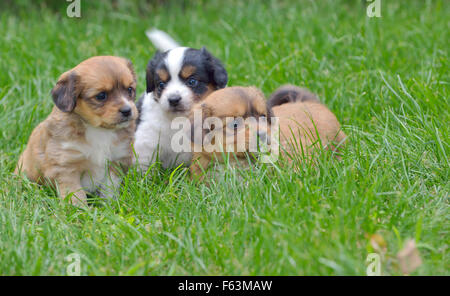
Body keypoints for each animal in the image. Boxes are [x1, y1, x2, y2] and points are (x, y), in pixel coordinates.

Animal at [14, 56, 138, 207]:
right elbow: (75, 193)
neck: (99, 131)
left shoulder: (116, 161)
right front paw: (79, 209)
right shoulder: (66, 167)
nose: (127, 110)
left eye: (130, 89)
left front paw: (109, 205)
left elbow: (109, 188)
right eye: (101, 96)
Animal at [132, 31, 227, 170]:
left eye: (192, 81)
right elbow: (144, 166)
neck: (181, 119)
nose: (173, 100)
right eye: (161, 84)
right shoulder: (146, 140)